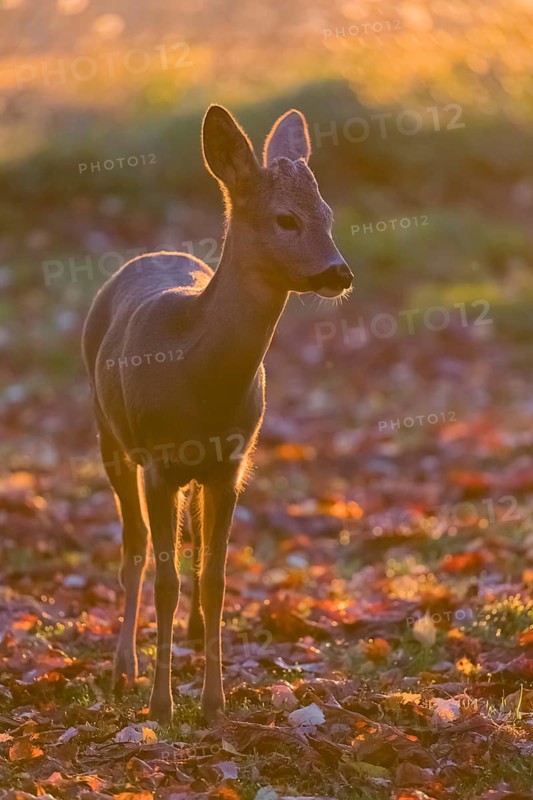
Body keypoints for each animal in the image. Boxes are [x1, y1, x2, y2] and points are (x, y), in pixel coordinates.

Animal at [82, 104, 353, 724]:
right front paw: (160, 706)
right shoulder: (158, 463)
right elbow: (165, 578)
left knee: (189, 547)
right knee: (133, 548)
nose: (339, 273)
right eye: (285, 219)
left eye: (328, 214)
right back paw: (123, 669)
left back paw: (190, 639)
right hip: (110, 434)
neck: (198, 379)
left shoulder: (232, 464)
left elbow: (214, 578)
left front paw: (214, 703)